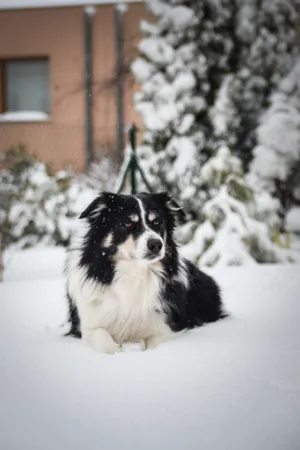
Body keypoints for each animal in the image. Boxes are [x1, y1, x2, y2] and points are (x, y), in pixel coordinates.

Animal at [64, 192, 226, 354]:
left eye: (157, 222)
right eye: (128, 223)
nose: (156, 244)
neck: (135, 273)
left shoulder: (166, 327)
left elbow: (153, 342)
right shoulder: (88, 326)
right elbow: (102, 339)